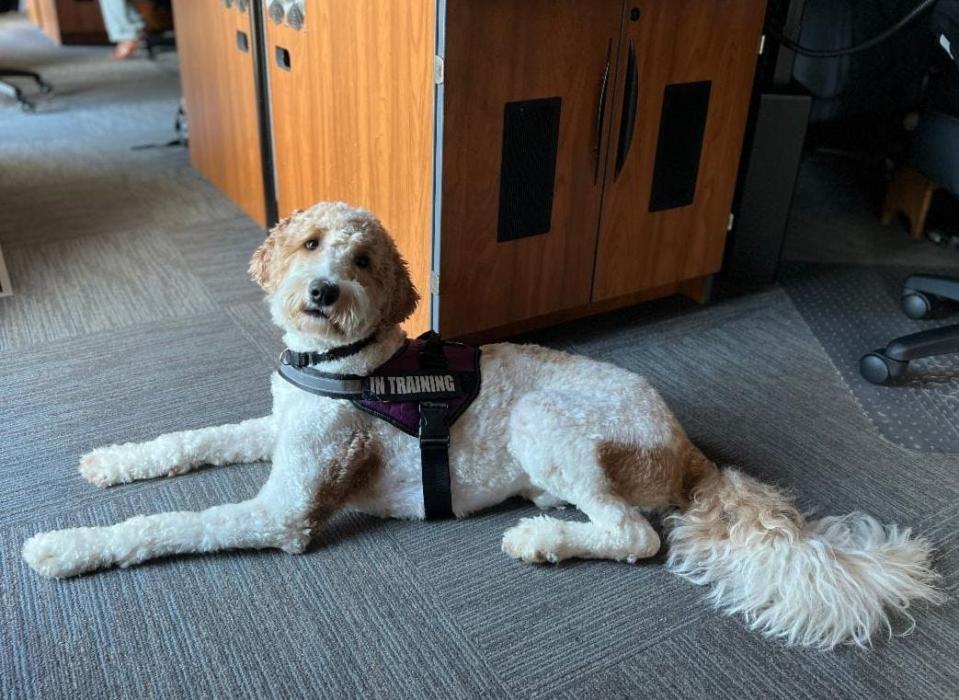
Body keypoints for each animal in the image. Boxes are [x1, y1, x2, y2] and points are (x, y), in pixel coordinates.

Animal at [22, 200, 944, 648]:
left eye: (362, 260)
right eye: (312, 243)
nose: (322, 292)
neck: (342, 363)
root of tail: (691, 455)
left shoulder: (283, 512)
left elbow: (167, 524)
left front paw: (67, 546)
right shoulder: (277, 432)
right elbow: (192, 441)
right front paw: (113, 459)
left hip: (543, 417)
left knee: (635, 536)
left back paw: (542, 541)